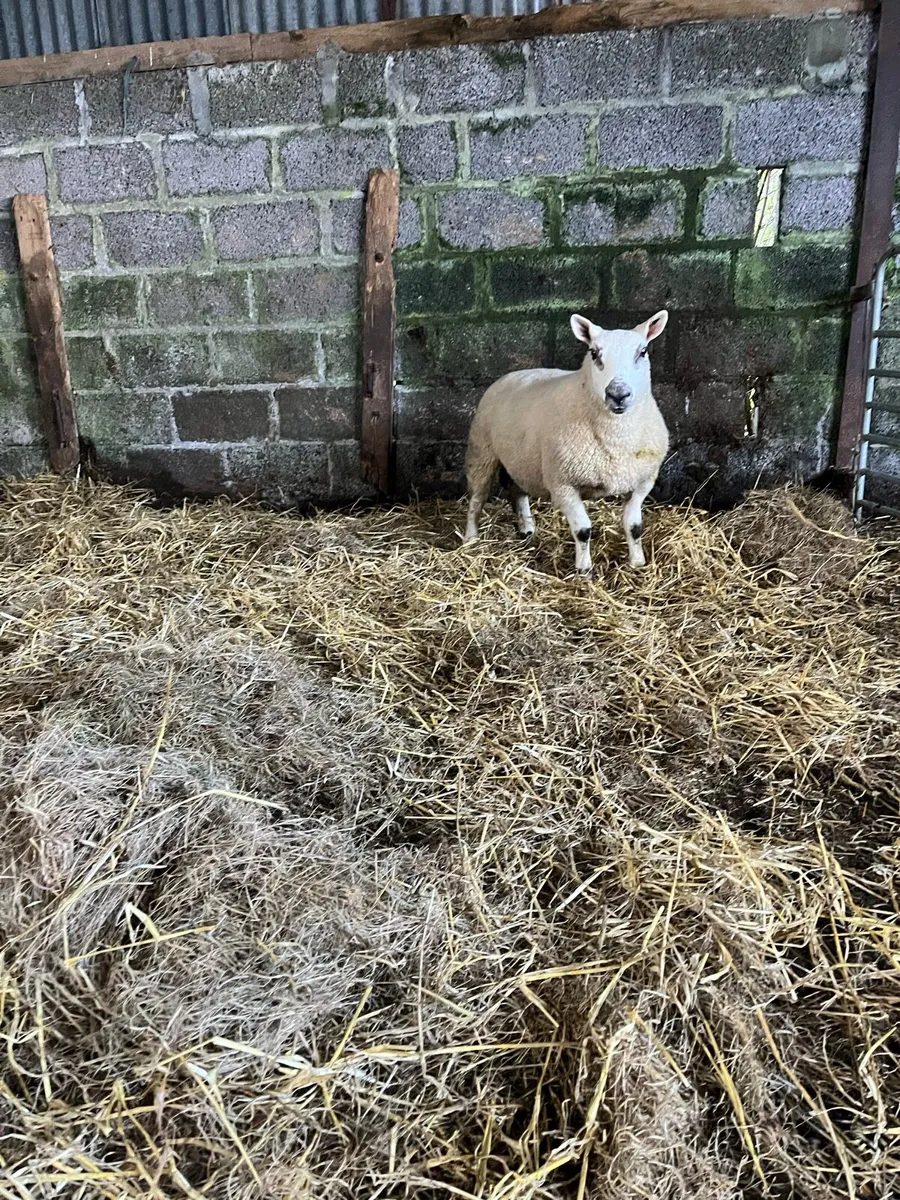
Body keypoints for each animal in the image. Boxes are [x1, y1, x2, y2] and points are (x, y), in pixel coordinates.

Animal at [463, 310, 669, 574]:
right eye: (594, 353)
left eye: (642, 352)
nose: (618, 394)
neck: (616, 438)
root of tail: (512, 374)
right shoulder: (563, 484)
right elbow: (583, 530)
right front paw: (584, 570)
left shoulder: (643, 482)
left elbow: (634, 527)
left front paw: (637, 562)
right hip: (482, 451)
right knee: (476, 499)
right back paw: (470, 539)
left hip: (521, 461)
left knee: (517, 492)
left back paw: (527, 529)